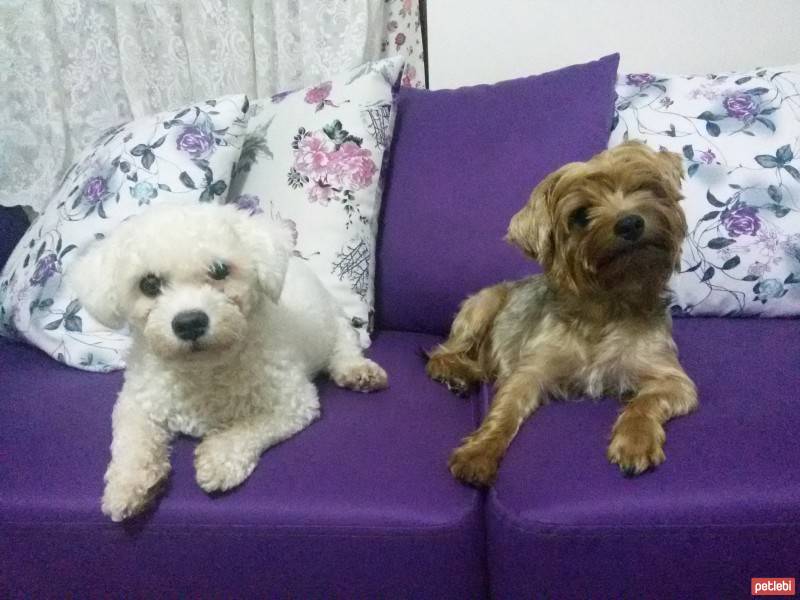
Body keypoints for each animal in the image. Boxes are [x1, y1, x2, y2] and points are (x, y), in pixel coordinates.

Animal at [70, 203, 390, 520]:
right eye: (148, 284)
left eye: (220, 270)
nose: (189, 323)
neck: (202, 370)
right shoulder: (137, 401)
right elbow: (130, 439)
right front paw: (127, 484)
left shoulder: (294, 402)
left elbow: (249, 427)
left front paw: (219, 458)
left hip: (334, 322)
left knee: (344, 345)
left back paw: (357, 371)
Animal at [428, 142, 696, 488]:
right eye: (580, 216)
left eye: (645, 188)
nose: (630, 223)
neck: (608, 304)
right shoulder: (529, 373)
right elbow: (503, 414)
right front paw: (479, 454)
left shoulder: (672, 379)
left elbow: (645, 402)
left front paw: (635, 442)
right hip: (483, 304)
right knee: (443, 352)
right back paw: (457, 373)